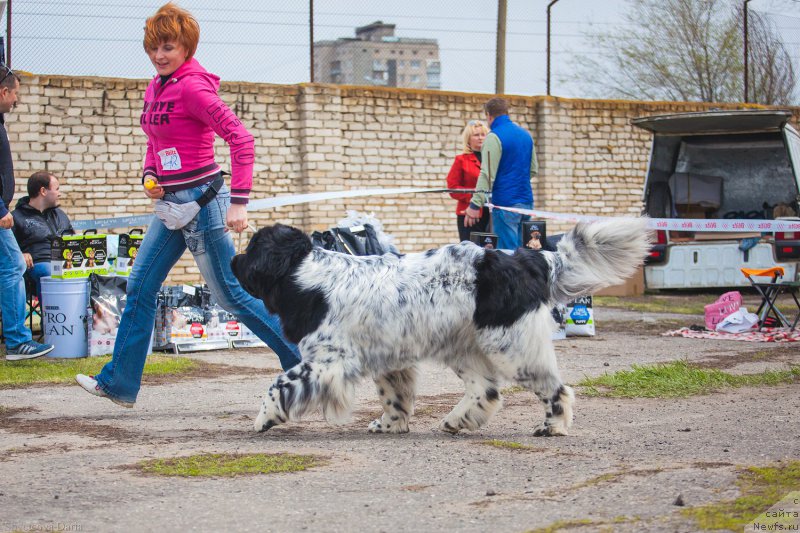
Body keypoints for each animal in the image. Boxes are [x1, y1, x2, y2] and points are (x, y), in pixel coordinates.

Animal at [230, 218, 648, 434]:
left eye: (251, 249)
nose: (231, 259)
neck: (307, 275)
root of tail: (530, 257)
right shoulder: (390, 362)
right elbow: (395, 399)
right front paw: (391, 425)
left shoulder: (328, 361)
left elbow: (280, 384)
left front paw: (264, 418)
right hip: (464, 346)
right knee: (486, 391)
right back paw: (457, 420)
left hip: (511, 347)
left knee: (555, 389)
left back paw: (553, 426)